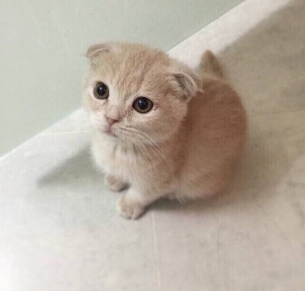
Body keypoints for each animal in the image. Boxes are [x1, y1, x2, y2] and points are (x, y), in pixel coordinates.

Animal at [82, 42, 246, 219]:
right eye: (101, 90)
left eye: (142, 105)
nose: (111, 118)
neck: (118, 149)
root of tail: (224, 82)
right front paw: (115, 178)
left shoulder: (158, 181)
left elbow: (141, 194)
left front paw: (128, 205)